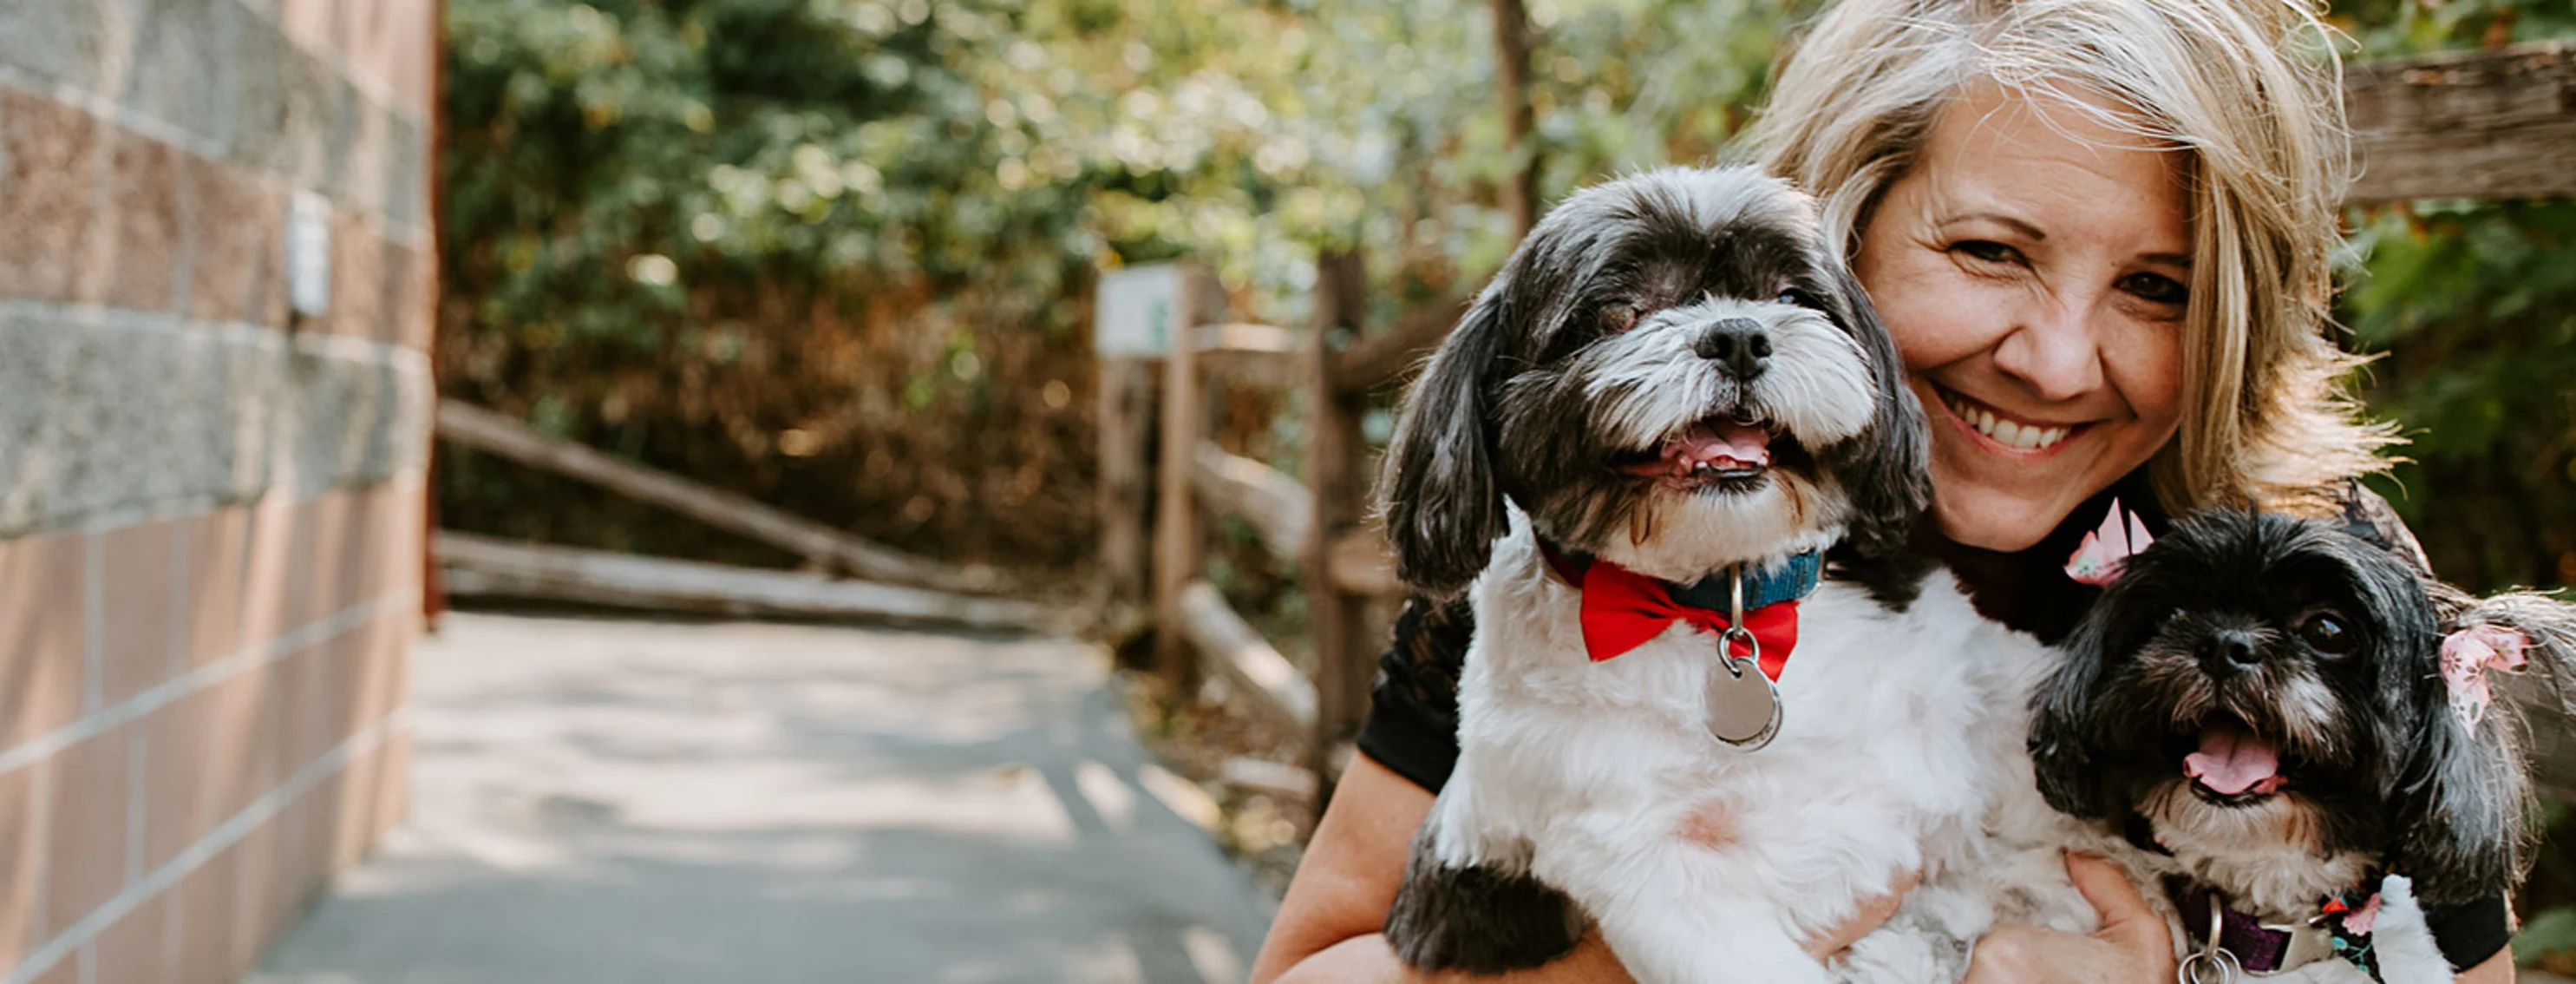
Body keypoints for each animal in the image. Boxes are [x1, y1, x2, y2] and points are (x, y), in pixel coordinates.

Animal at [1380, 168, 2040, 984]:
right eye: (1617, 312)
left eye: (1790, 296)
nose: (1738, 336)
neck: (1723, 602)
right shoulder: (1650, 867)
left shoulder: (1966, 675)